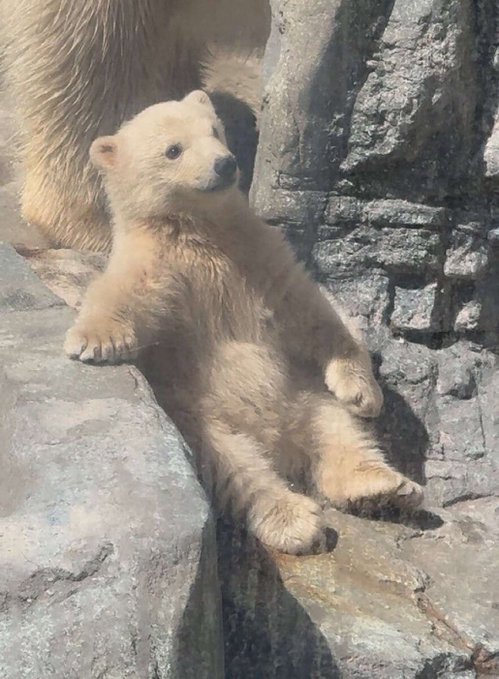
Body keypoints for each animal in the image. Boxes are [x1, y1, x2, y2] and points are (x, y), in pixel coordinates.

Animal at [64, 90, 423, 554]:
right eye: (173, 149)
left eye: (214, 131)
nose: (225, 164)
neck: (203, 232)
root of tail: (280, 439)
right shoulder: (163, 264)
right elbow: (127, 292)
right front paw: (92, 341)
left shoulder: (258, 255)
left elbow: (311, 312)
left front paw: (363, 392)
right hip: (199, 417)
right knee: (233, 464)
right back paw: (294, 518)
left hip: (304, 393)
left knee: (340, 430)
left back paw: (383, 487)